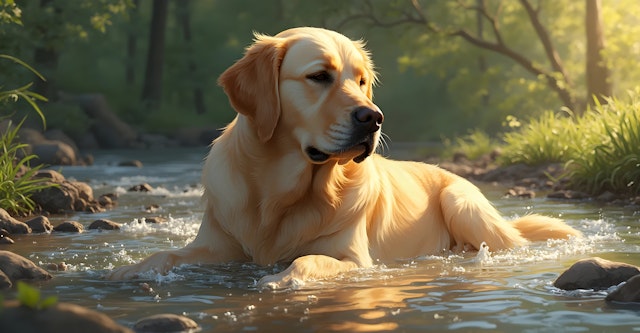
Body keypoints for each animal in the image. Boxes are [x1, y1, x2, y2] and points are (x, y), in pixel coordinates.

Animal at [109, 27, 580, 286]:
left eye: (362, 80)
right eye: (320, 76)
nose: (374, 118)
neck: (282, 193)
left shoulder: (353, 258)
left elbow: (309, 260)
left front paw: (281, 280)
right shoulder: (217, 245)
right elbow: (167, 255)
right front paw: (129, 271)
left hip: (460, 202)